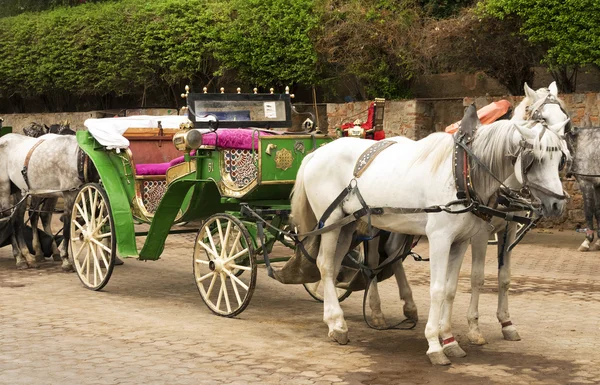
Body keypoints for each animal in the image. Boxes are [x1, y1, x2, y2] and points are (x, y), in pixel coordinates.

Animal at [0, 132, 82, 270]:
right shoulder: (70, 193)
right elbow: (67, 224)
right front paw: (65, 260)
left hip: (20, 190)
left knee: (18, 219)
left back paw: (28, 256)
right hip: (5, 189)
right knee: (9, 218)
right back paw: (20, 258)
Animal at [292, 112, 568, 364]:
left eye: (559, 159)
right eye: (536, 159)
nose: (557, 204)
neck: (461, 174)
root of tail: (317, 152)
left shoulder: (461, 241)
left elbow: (450, 289)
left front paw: (449, 340)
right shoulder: (440, 239)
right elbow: (437, 289)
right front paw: (435, 344)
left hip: (347, 225)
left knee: (337, 264)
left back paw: (338, 318)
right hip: (330, 223)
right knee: (326, 266)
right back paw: (336, 324)